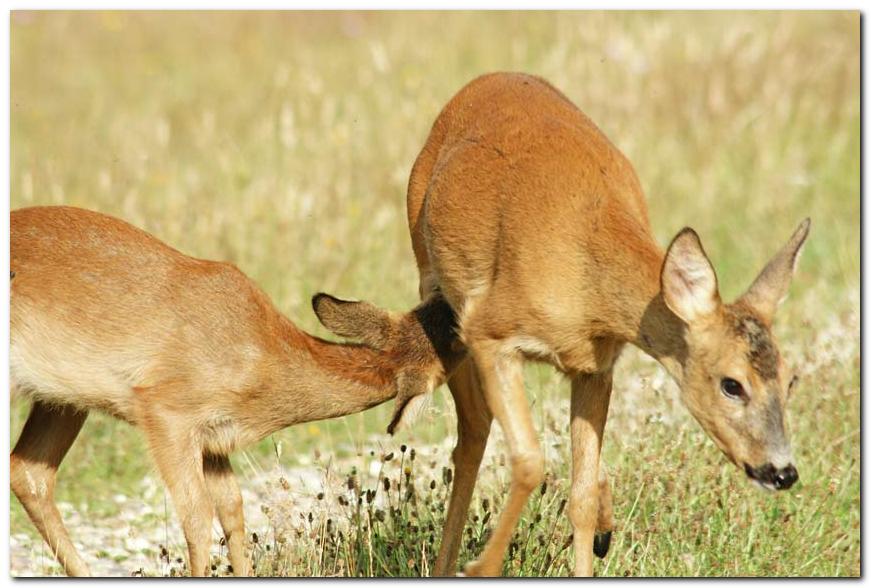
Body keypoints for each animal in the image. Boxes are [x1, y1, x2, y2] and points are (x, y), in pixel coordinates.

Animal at [10, 204, 464, 576]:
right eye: (455, 339)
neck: (267, 355)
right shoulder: (165, 411)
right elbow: (197, 516)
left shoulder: (213, 441)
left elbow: (232, 507)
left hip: (63, 401)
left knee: (28, 473)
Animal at [326, 72, 812, 576]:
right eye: (732, 384)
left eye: (790, 380)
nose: (782, 471)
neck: (587, 281)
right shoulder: (490, 332)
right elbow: (527, 460)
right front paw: (481, 566)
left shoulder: (597, 366)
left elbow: (579, 497)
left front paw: (595, 533)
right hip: (436, 288)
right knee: (472, 432)